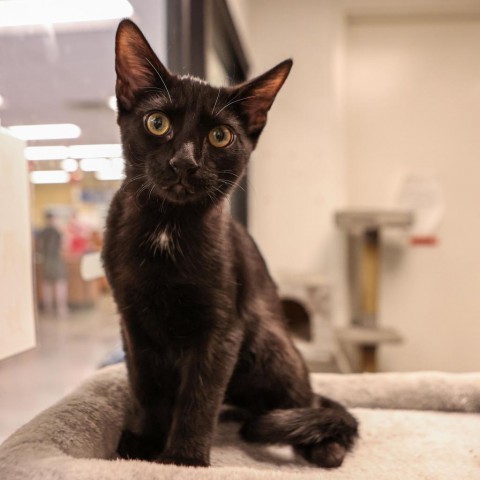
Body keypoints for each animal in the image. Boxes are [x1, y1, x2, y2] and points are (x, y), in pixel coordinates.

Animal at [102, 18, 356, 468]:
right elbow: (145, 385)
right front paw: (141, 444)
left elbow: (199, 393)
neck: (166, 229)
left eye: (220, 136)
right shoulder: (132, 319)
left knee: (303, 400)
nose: (184, 162)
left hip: (270, 344)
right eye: (157, 123)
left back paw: (323, 443)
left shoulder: (222, 326)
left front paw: (183, 459)